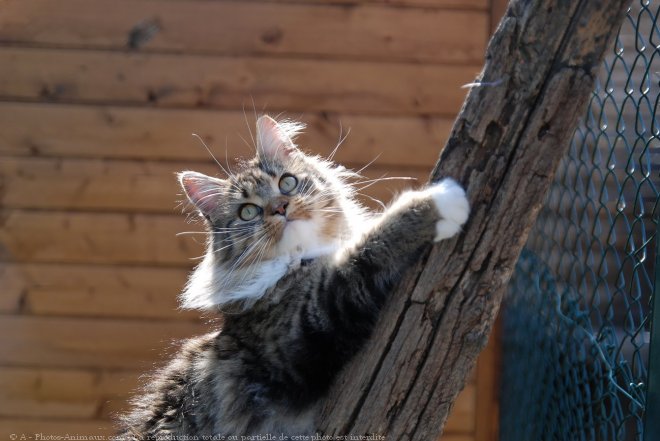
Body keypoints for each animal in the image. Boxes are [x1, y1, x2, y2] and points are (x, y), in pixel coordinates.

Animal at [118, 115, 470, 438]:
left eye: (286, 183)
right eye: (247, 211)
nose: (280, 207)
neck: (302, 259)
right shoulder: (306, 325)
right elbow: (367, 250)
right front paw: (439, 201)